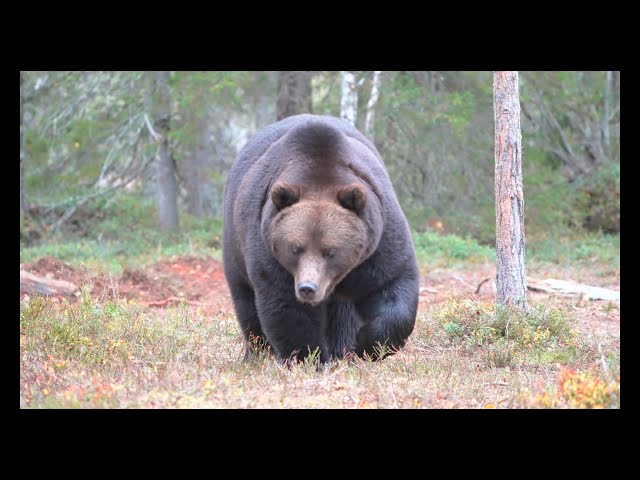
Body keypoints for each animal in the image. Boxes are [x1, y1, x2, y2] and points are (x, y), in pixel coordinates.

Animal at [221, 114, 420, 362]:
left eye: (331, 251)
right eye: (295, 248)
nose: (308, 288)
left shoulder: (378, 240)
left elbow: (391, 284)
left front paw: (366, 344)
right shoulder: (267, 247)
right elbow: (287, 307)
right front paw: (309, 357)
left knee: (343, 311)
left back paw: (341, 348)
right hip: (235, 247)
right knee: (246, 302)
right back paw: (258, 352)